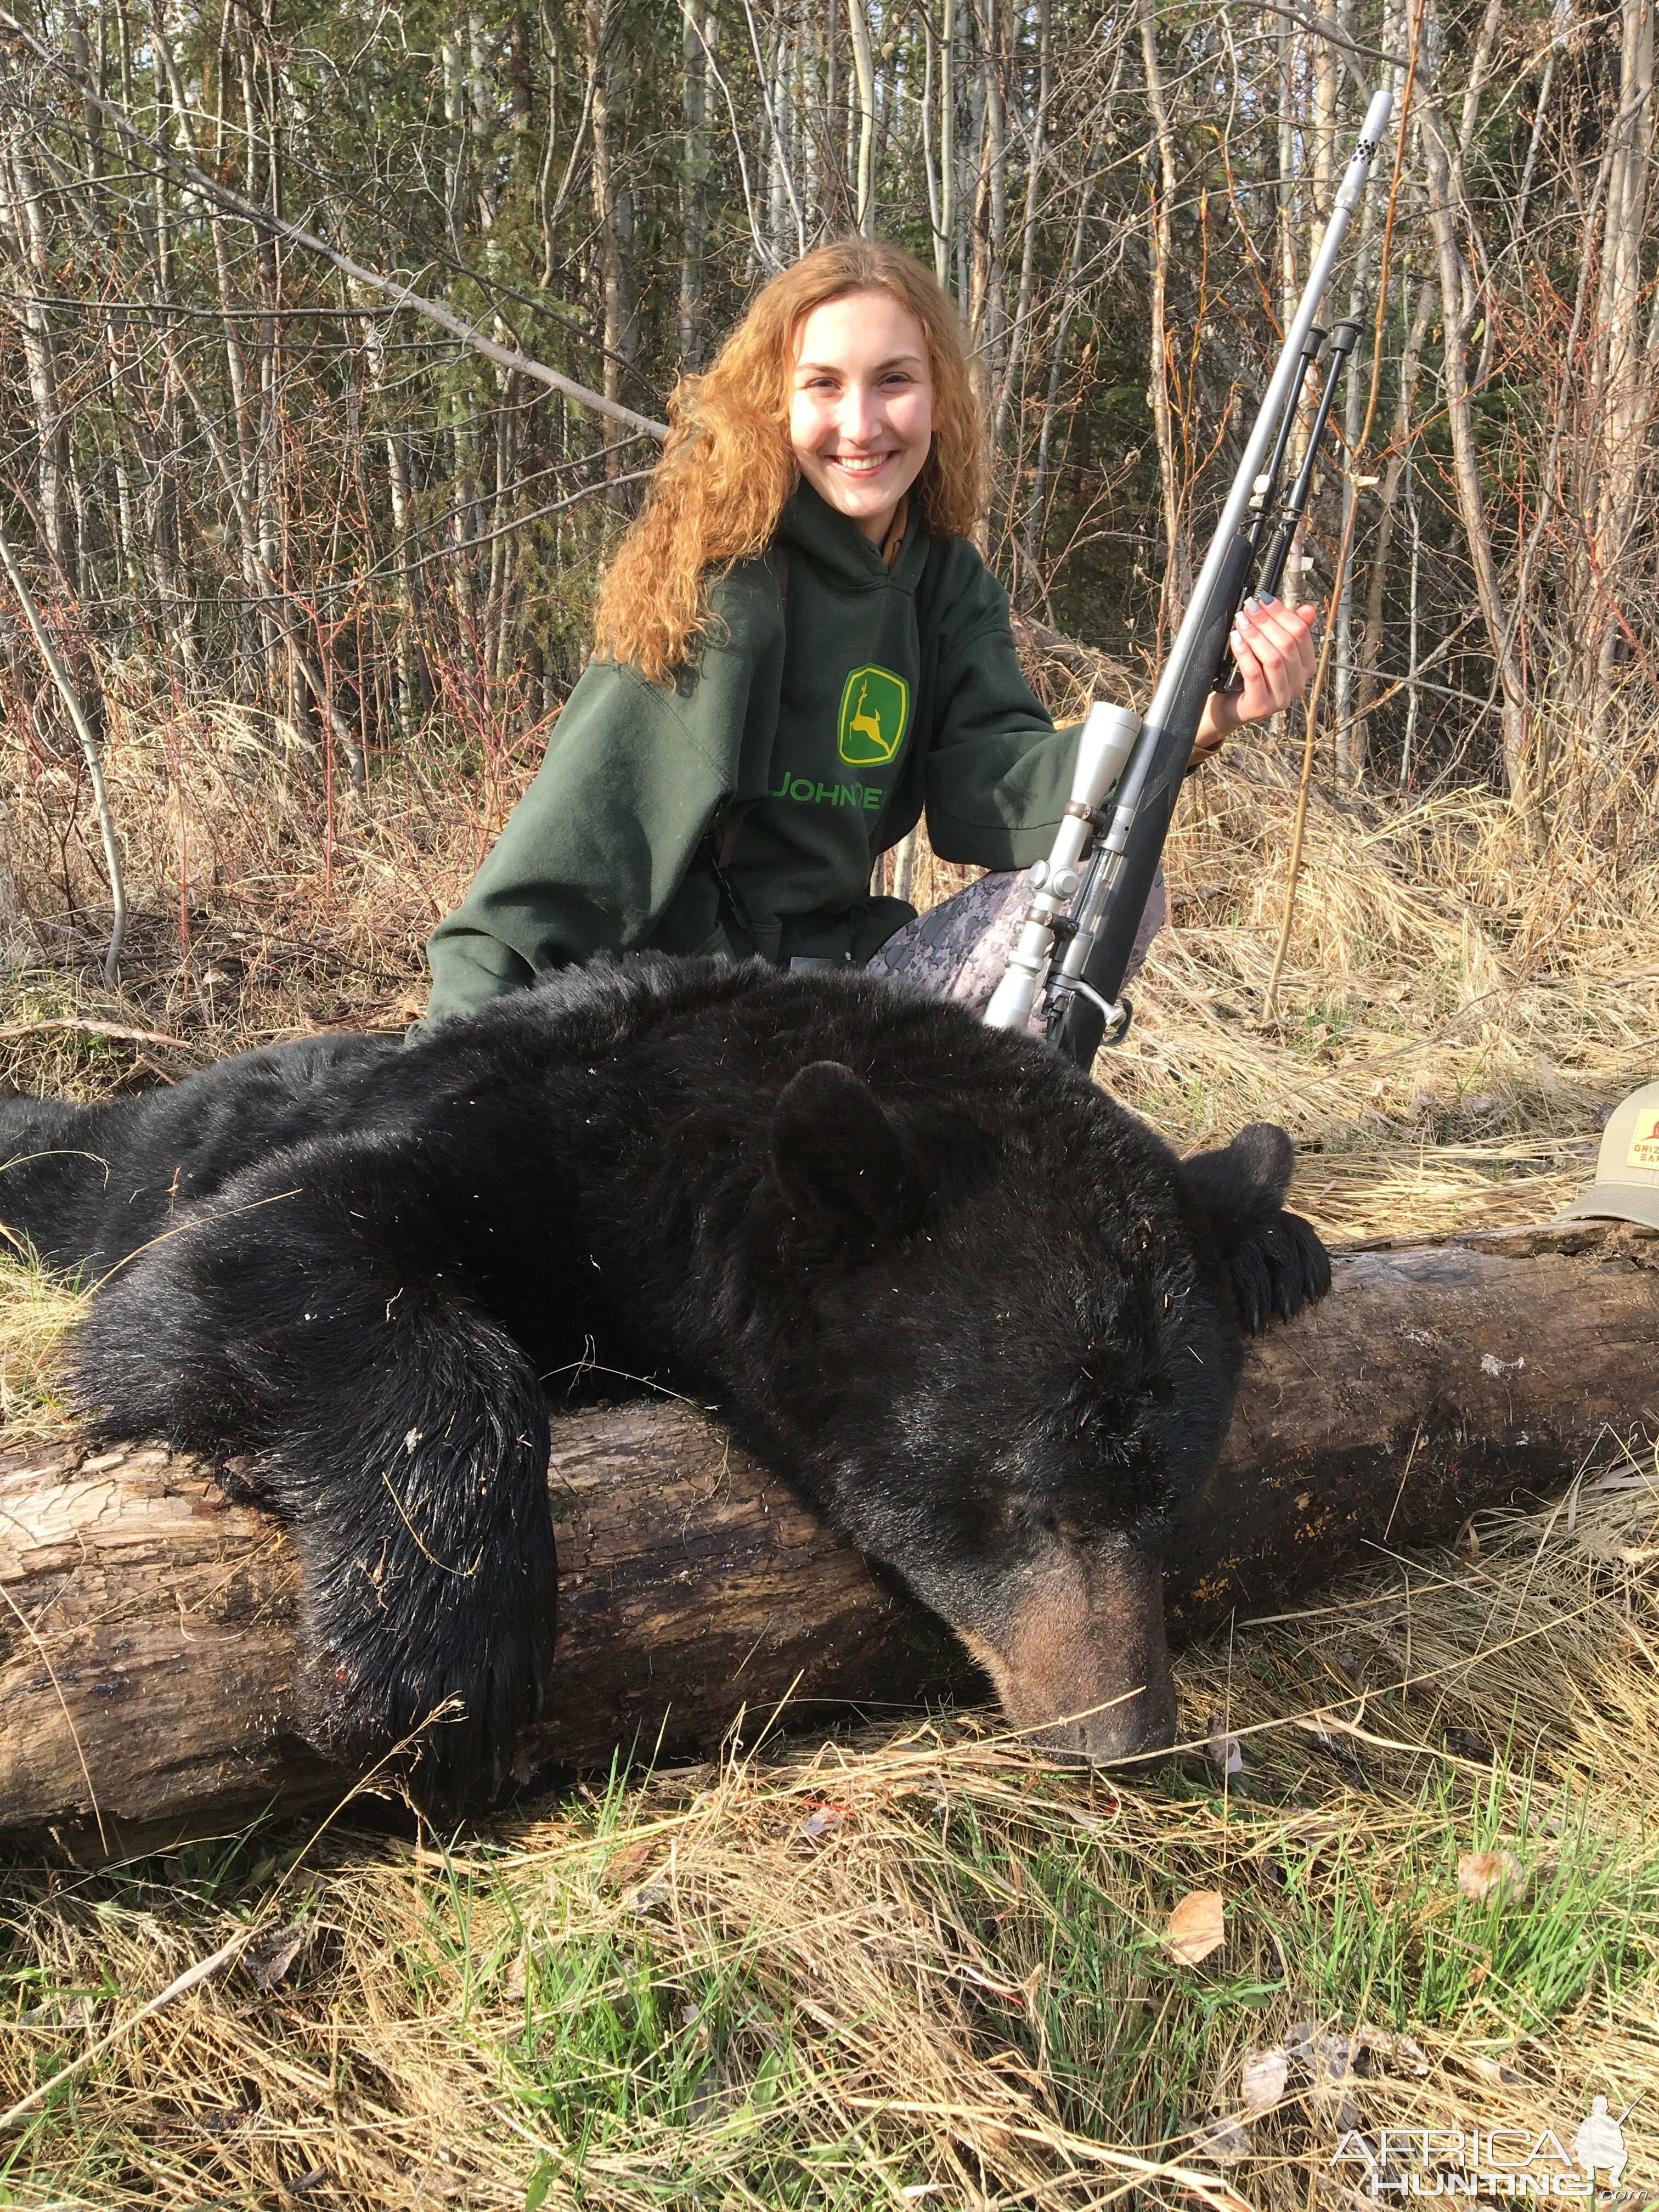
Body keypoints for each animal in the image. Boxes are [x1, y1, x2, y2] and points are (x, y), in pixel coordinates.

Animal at [0, 960, 1336, 1787]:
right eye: (1033, 1501)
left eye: (1169, 1502)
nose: (1125, 1731)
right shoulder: (520, 1142)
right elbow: (231, 1254)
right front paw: (426, 1648)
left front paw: (1276, 1239)